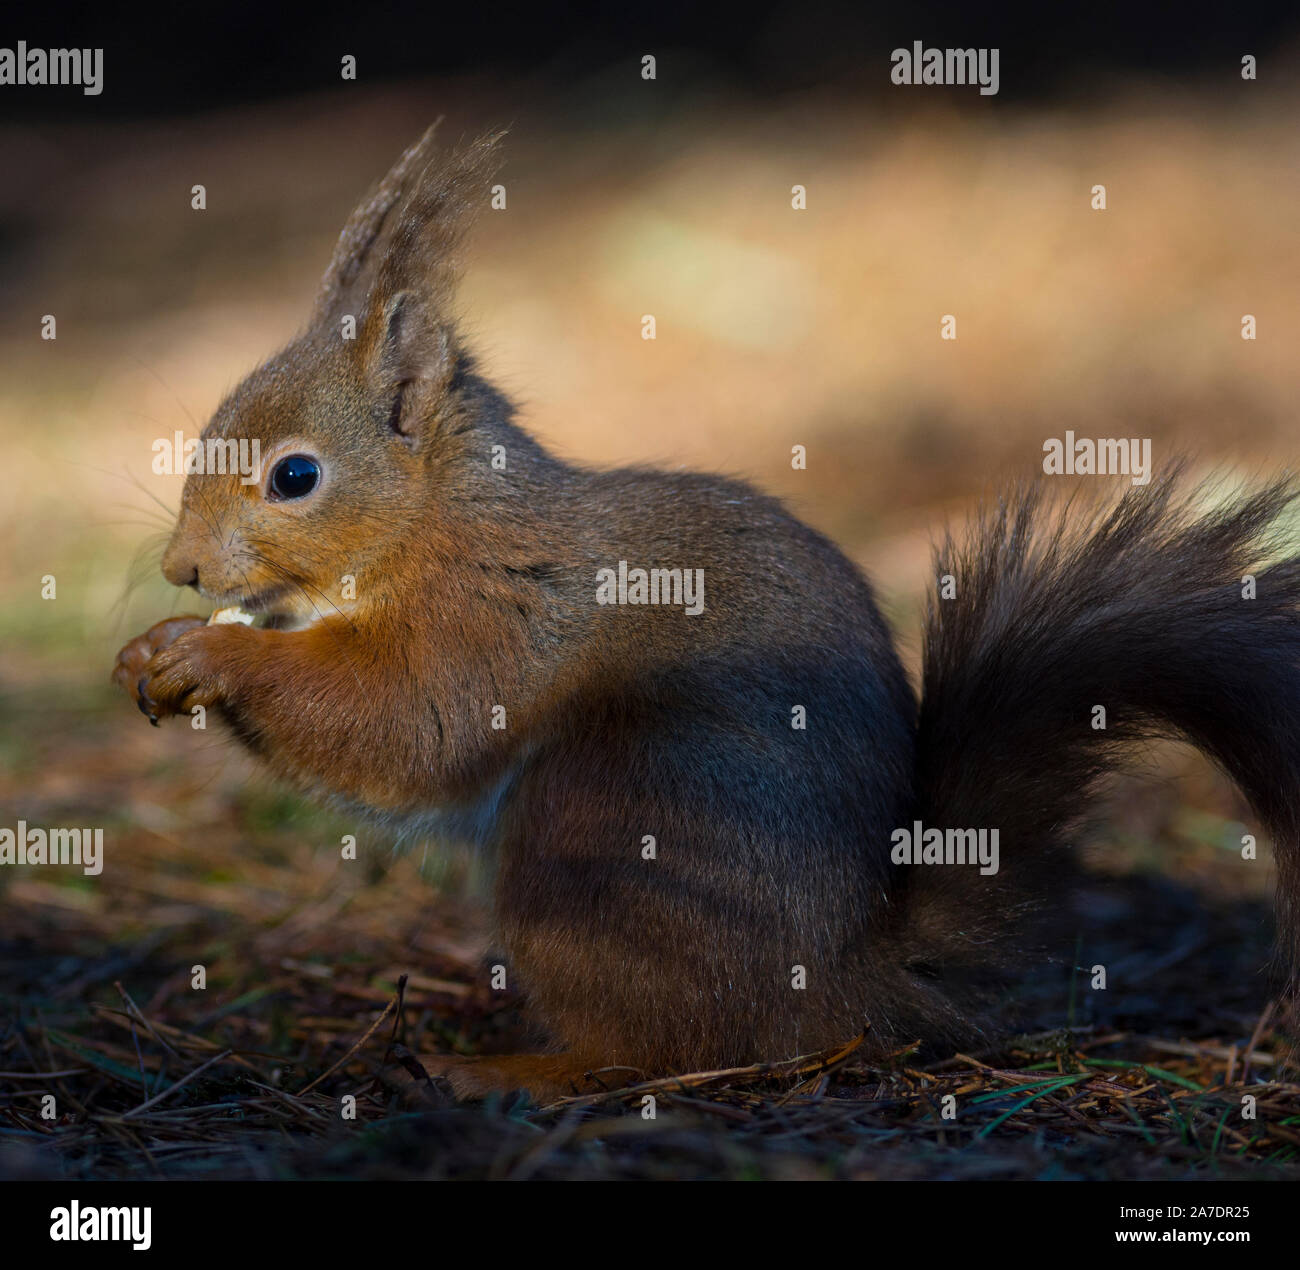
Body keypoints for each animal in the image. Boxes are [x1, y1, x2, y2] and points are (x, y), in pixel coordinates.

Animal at [114, 126, 1300, 1102]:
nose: (179, 569)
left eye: (295, 476)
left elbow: (409, 726)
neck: (439, 521)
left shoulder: (495, 613)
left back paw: (509, 1067)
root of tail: (846, 986)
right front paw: (151, 649)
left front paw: (209, 656)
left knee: (661, 1048)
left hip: (605, 833)